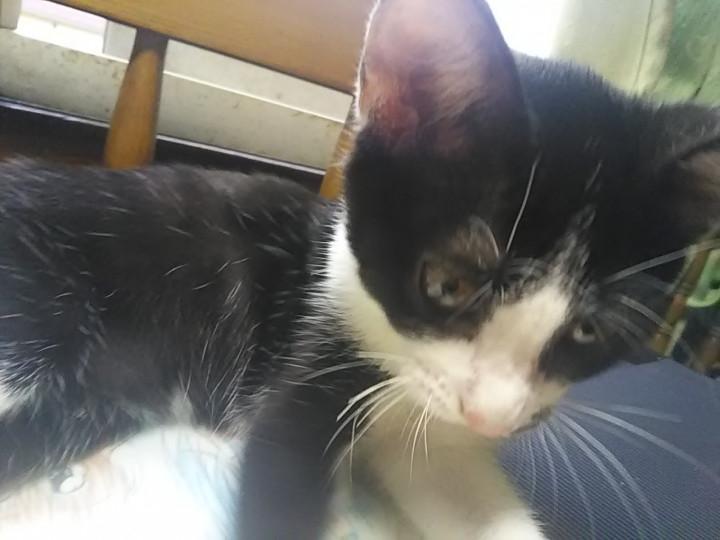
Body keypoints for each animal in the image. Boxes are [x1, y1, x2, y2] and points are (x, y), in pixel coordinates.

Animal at [0, 0, 718, 538]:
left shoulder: (429, 433)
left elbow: (453, 481)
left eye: (588, 333)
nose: (490, 418)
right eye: (448, 284)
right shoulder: (307, 362)